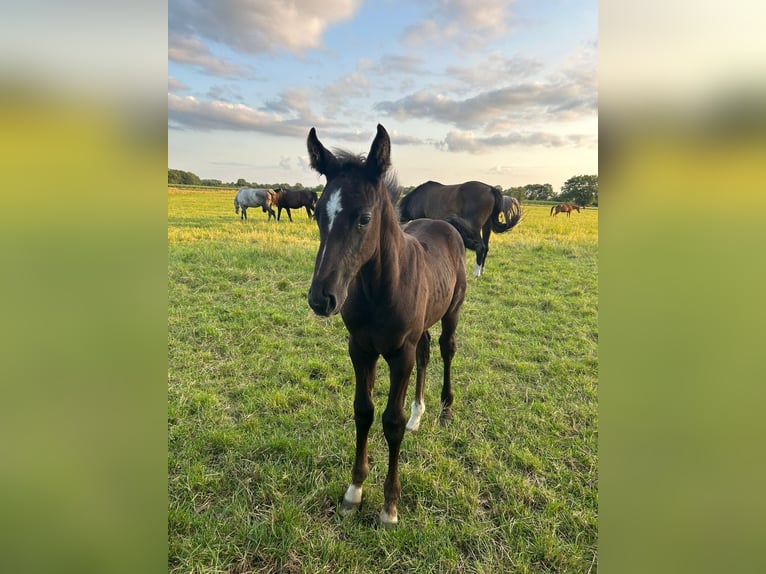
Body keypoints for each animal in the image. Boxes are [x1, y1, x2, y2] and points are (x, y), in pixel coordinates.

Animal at [306, 124, 468, 528]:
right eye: (317, 215)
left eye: (364, 218)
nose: (321, 299)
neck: (380, 289)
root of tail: (445, 224)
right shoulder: (360, 349)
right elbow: (363, 411)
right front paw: (354, 492)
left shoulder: (399, 354)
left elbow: (391, 422)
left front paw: (389, 506)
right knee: (426, 354)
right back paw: (419, 414)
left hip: (452, 312)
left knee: (445, 350)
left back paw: (444, 410)